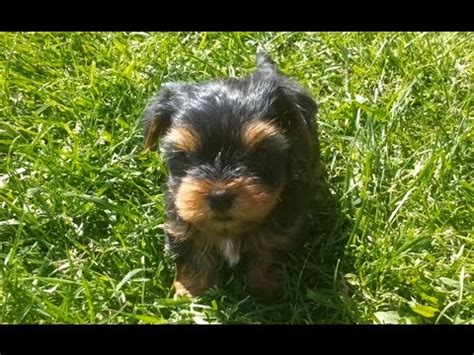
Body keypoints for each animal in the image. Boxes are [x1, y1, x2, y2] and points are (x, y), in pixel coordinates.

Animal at [141, 48, 318, 298]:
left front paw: (268, 289)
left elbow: (268, 252)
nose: (219, 196)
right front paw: (192, 293)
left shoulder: (286, 225)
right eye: (184, 156)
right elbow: (193, 255)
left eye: (262, 152)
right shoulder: (180, 222)